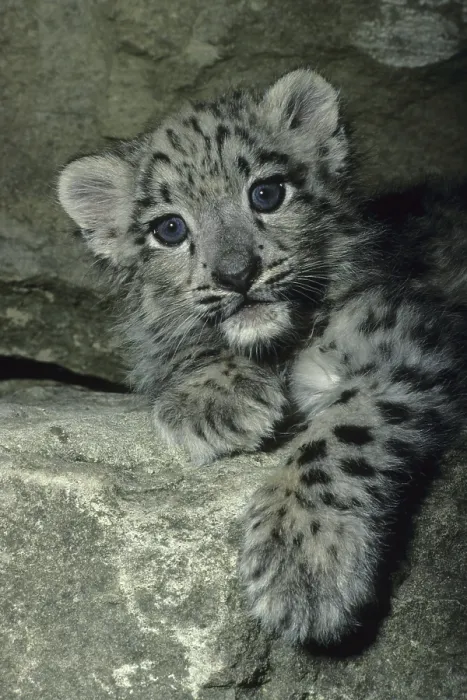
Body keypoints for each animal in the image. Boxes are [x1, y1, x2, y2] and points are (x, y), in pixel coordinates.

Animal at [58, 69, 467, 646]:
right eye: (169, 229)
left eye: (267, 194)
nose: (236, 274)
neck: (285, 348)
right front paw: (216, 402)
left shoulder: (408, 342)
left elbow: (344, 432)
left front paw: (302, 555)